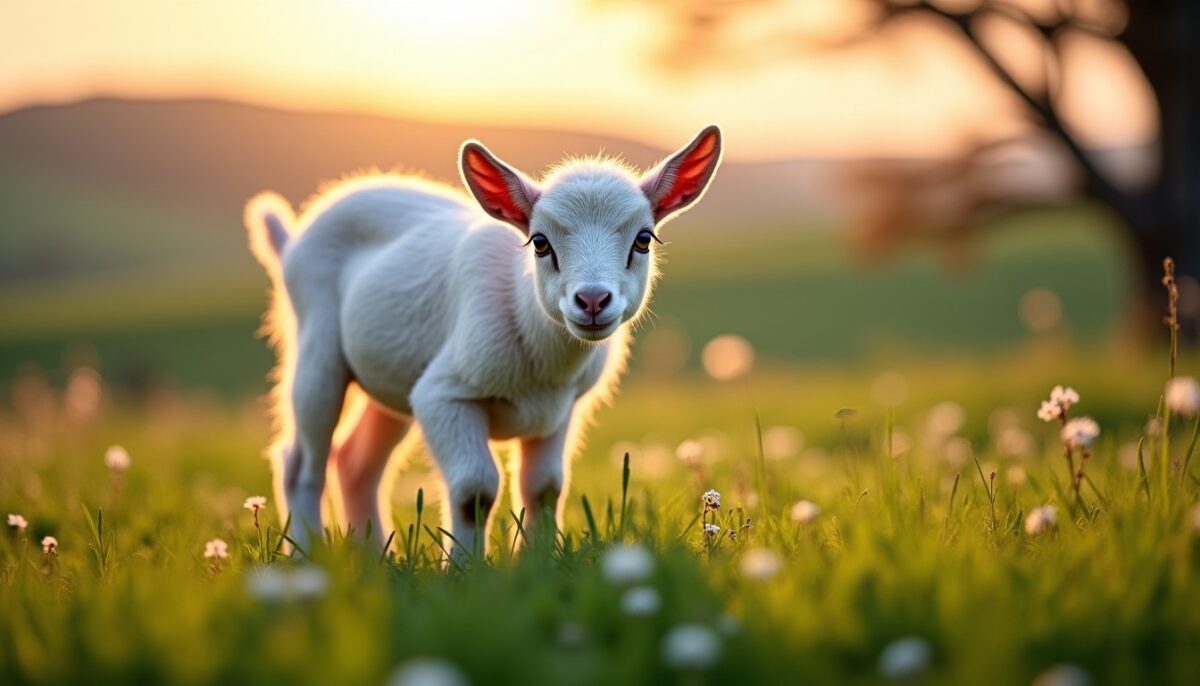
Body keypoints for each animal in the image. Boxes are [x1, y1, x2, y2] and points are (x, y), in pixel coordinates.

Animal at [244, 126, 722, 559]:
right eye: (540, 242)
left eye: (643, 239)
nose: (591, 300)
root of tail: (292, 241)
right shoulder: (443, 394)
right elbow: (475, 490)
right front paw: (464, 572)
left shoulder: (562, 408)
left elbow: (544, 487)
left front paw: (536, 565)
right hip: (315, 340)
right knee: (301, 464)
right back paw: (307, 559)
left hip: (388, 377)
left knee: (355, 463)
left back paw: (375, 559)